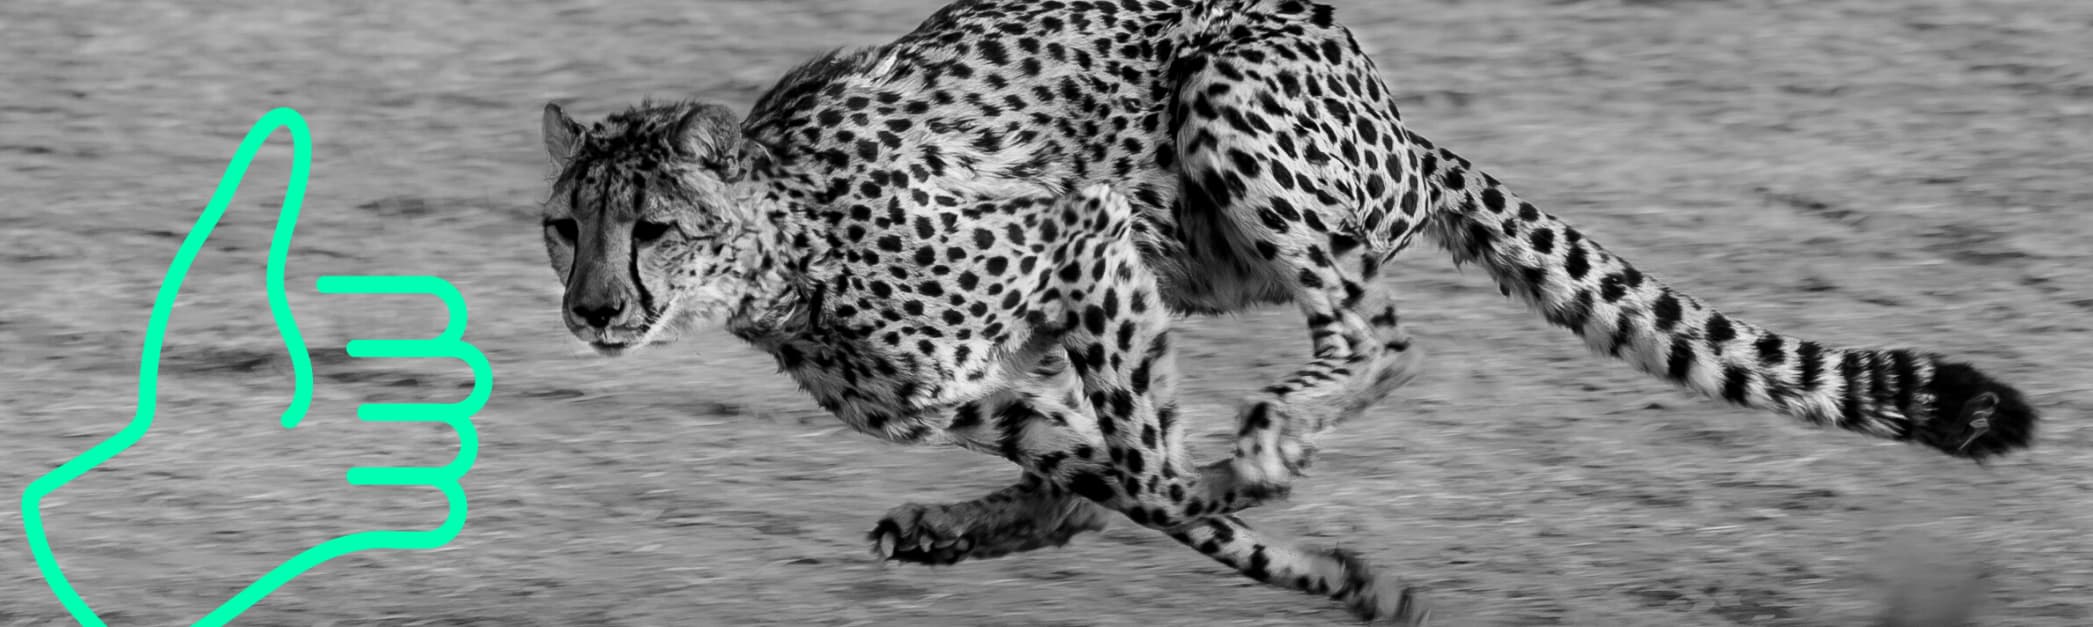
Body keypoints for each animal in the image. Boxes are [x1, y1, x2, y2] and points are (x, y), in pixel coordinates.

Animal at [533, 0, 2038, 623]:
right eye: (563, 225)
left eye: (652, 227)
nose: (591, 309)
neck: (783, 251)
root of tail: (1393, 113)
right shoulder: (992, 382)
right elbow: (1113, 480)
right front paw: (1332, 572)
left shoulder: (1083, 235)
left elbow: (1151, 477)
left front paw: (1309, 545)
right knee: (1111, 470)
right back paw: (967, 525)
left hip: (1223, 115)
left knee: (1374, 335)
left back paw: (1265, 442)